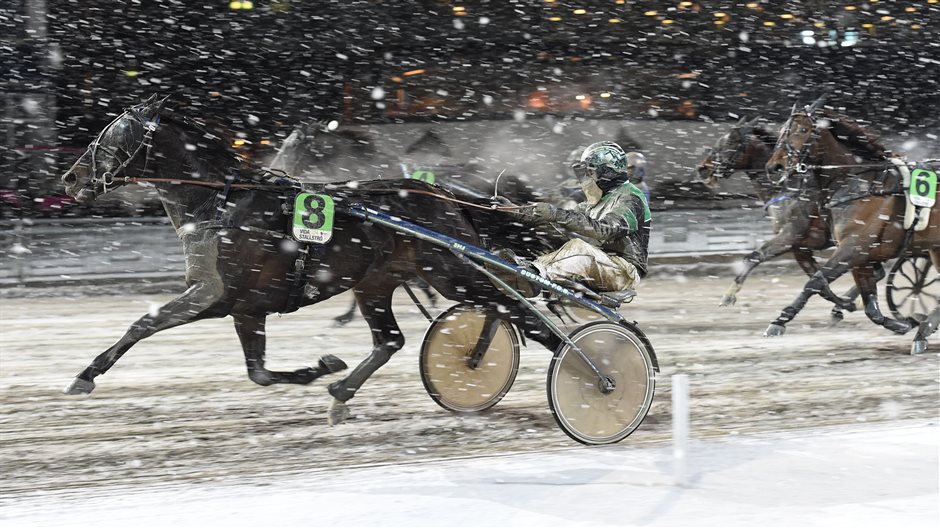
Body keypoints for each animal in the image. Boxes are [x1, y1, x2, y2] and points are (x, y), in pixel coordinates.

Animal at [58, 96, 564, 424]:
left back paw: (573, 366)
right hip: (375, 282)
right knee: (391, 340)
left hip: (453, 272)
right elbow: (259, 373)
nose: (71, 178)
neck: (221, 203)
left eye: (110, 136)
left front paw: (85, 375)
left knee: (517, 313)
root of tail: (445, 196)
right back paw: (341, 393)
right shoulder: (246, 307)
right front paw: (322, 368)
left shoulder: (213, 294)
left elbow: (144, 323)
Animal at [692, 116, 864, 316]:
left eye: (732, 142)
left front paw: (729, 295)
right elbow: (820, 283)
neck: (788, 188)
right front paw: (846, 304)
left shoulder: (791, 235)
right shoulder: (800, 248)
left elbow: (753, 256)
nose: (702, 168)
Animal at [768, 99, 936, 354]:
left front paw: (780, 321)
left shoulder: (853, 248)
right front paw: (903, 323)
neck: (860, 184)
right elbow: (871, 308)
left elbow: (815, 281)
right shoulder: (859, 256)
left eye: (803, 130)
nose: (775, 166)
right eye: (781, 131)